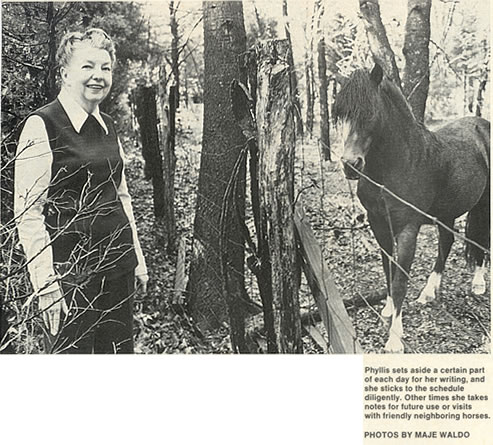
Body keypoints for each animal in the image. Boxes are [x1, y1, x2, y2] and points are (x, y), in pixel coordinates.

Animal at [330, 64, 488, 352]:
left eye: (371, 113)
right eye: (339, 116)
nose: (350, 165)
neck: (396, 166)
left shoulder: (407, 231)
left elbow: (400, 280)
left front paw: (395, 338)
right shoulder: (378, 224)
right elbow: (388, 269)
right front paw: (388, 310)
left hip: (483, 202)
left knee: (482, 239)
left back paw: (478, 284)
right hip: (446, 212)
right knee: (446, 242)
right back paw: (429, 292)